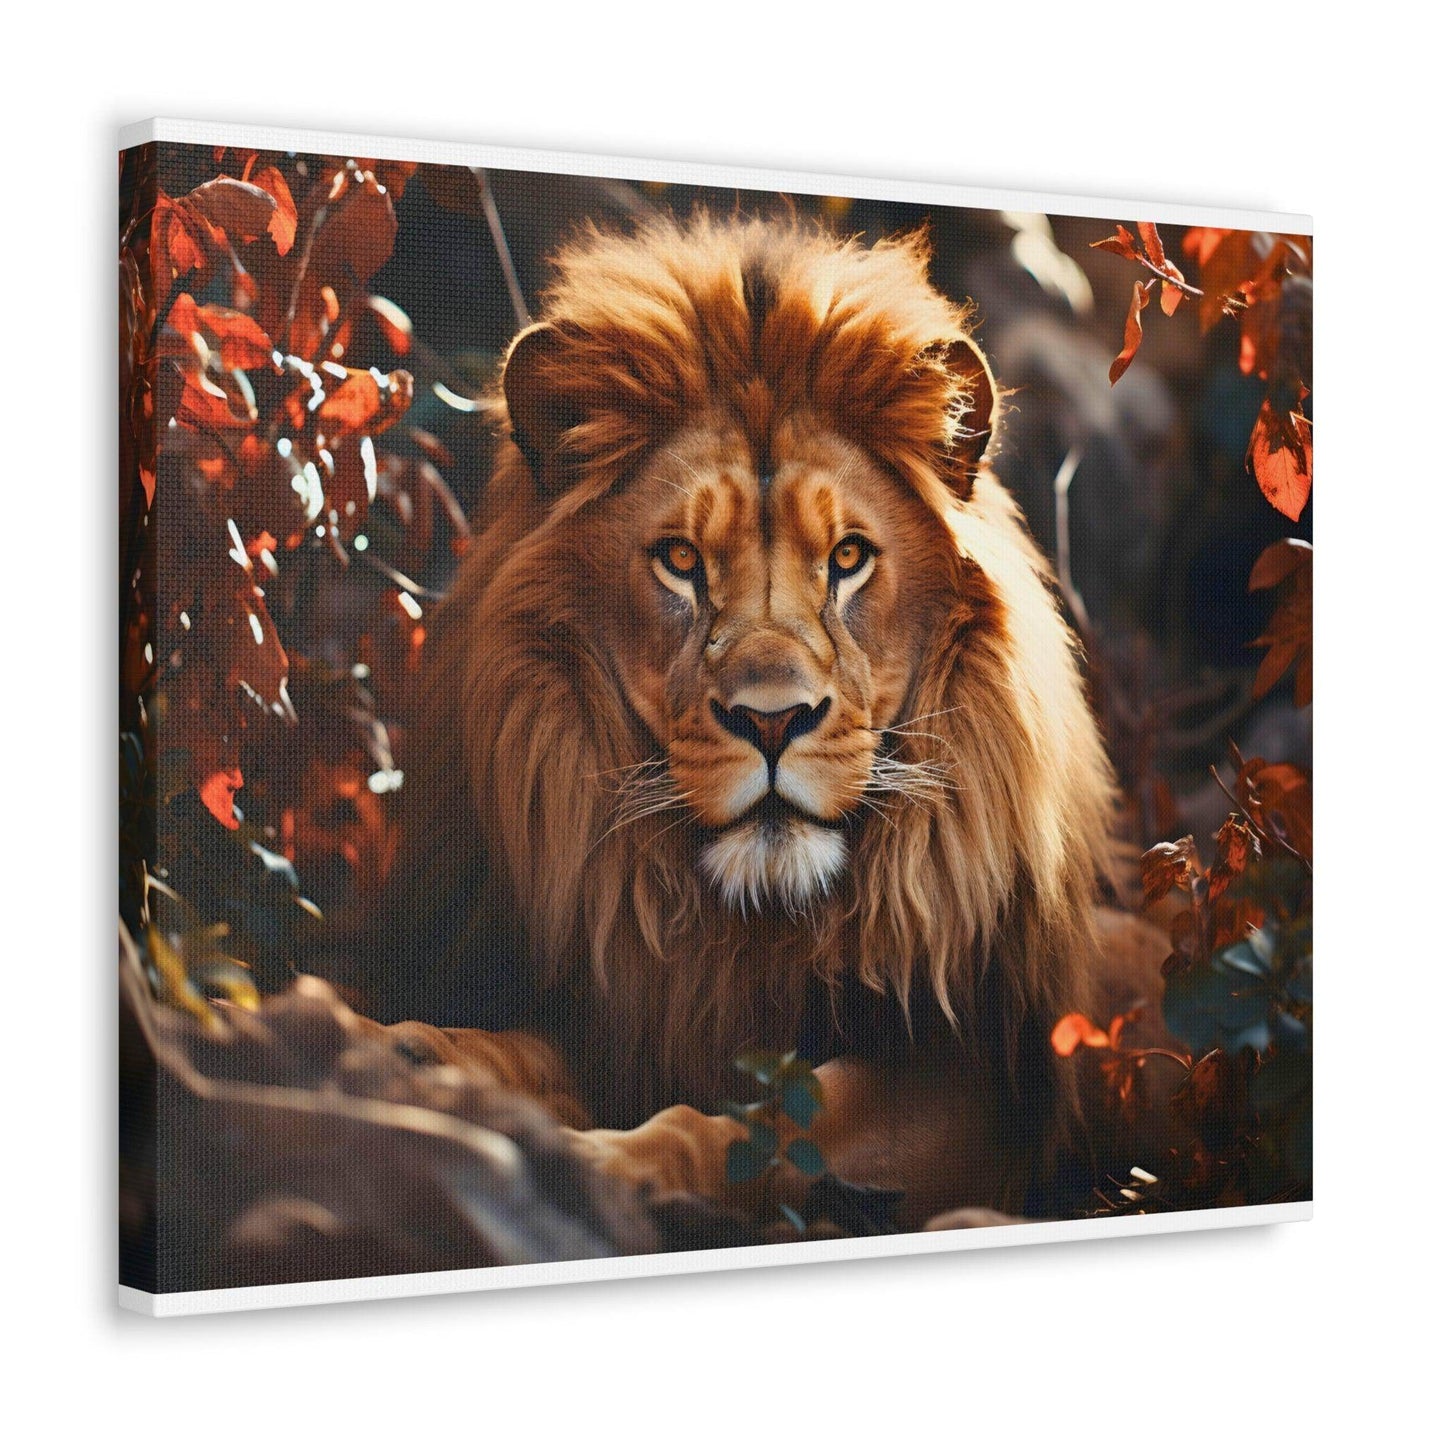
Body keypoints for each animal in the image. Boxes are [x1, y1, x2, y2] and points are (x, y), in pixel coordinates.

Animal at [349, 215, 1120, 1228]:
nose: (772, 721)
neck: (746, 926)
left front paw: (617, 1165)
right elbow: (510, 1047)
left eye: (847, 558)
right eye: (680, 560)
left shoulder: (977, 1083)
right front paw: (393, 1048)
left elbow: (779, 1120)